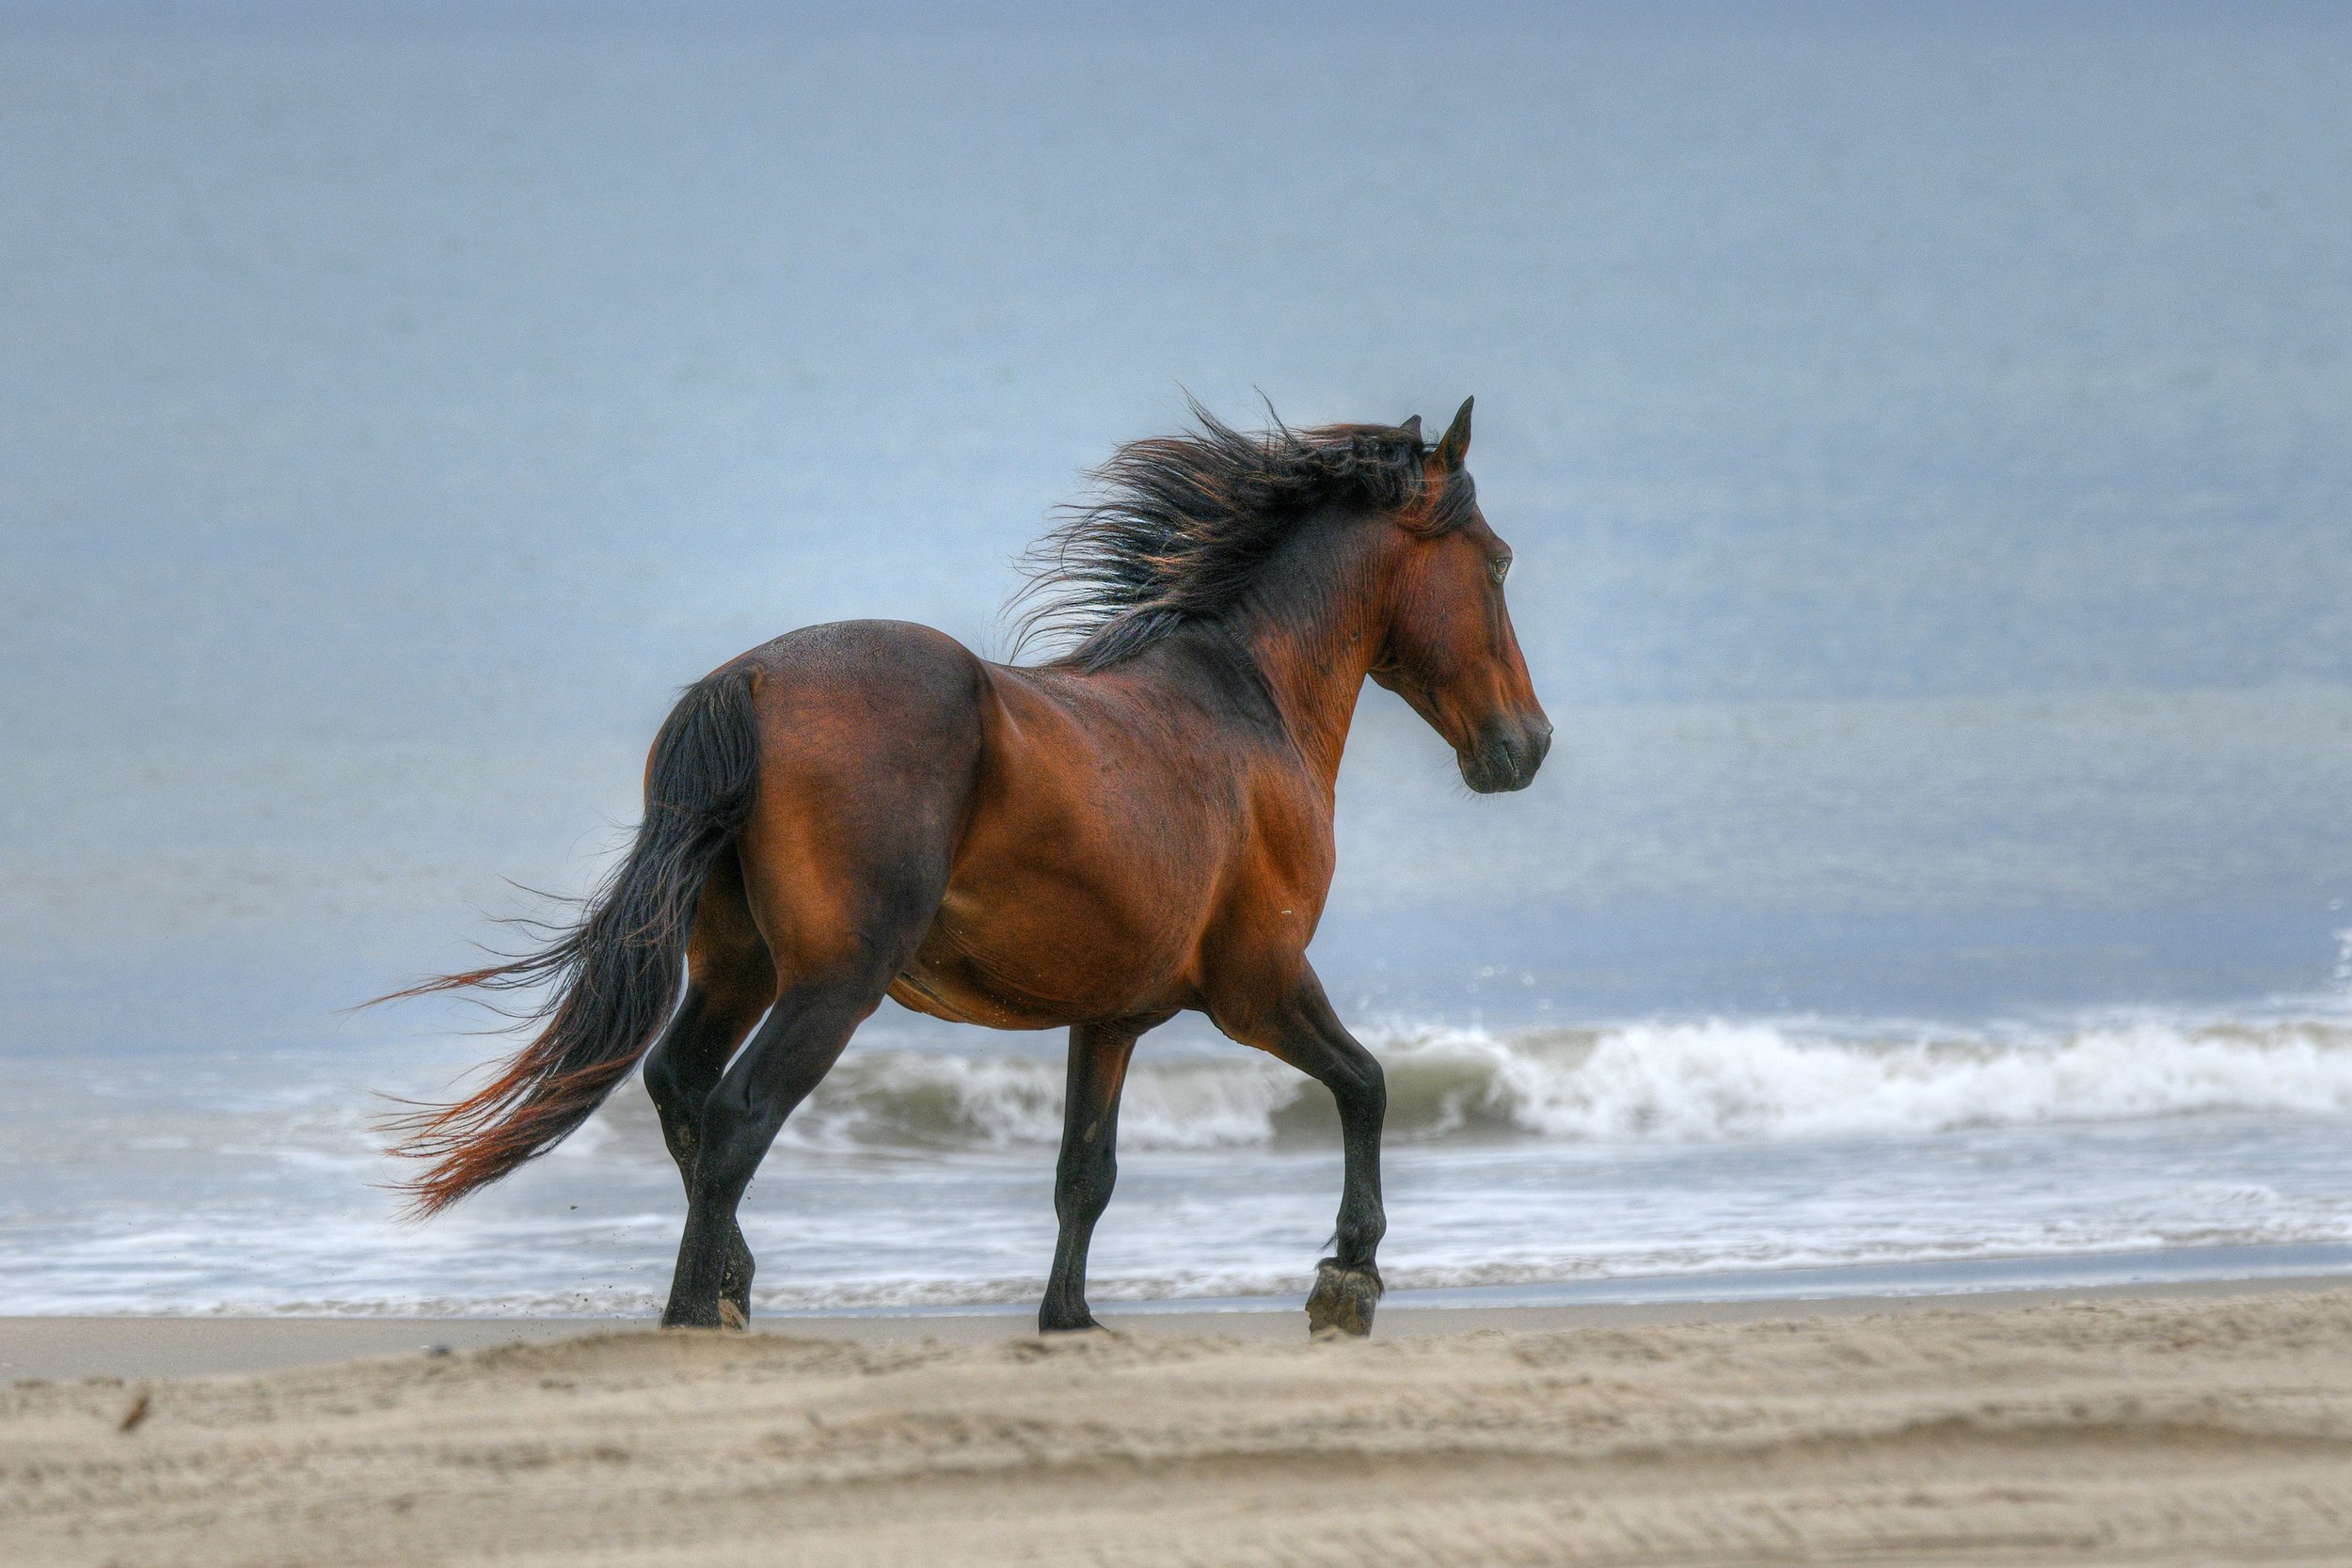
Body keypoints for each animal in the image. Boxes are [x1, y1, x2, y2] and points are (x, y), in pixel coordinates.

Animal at [380, 397, 1550, 1336]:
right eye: (1496, 560)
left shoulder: (1111, 1017)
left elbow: (1085, 1173)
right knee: (734, 1117)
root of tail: (743, 683)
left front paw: (1068, 1315)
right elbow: (1366, 1083)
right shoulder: (1256, 983)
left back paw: (728, 1286)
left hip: (738, 966)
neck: (1244, 705)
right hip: (831, 983)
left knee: (679, 1084)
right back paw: (694, 1309)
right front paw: (1347, 1277)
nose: (1526, 746)